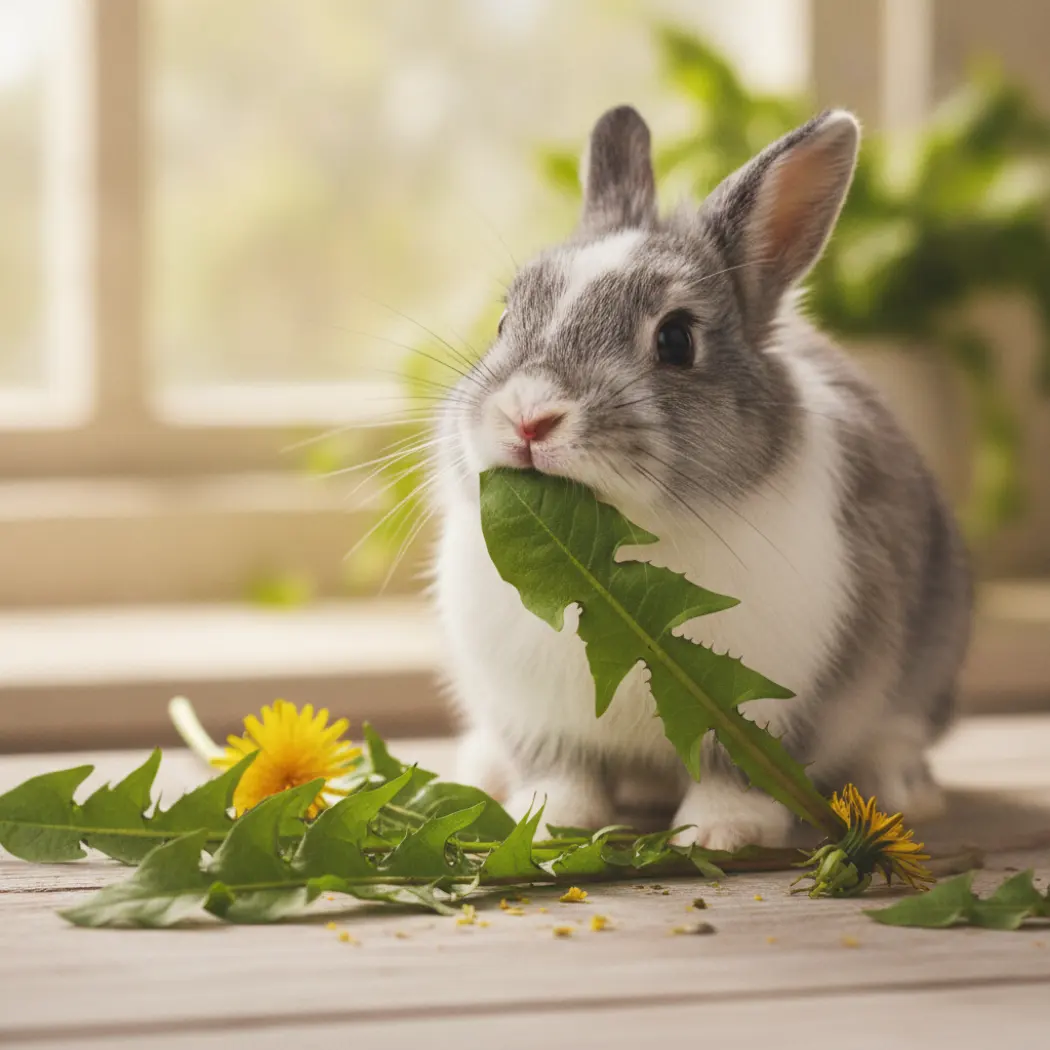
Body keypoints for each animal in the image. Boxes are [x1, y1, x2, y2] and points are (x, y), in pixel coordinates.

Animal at [429, 105, 972, 851]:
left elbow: (734, 771)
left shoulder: (772, 705)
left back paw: (904, 790)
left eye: (676, 340)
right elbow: (564, 771)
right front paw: (547, 823)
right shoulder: (538, 717)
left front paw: (720, 831)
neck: (611, 563)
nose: (528, 418)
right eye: (506, 320)